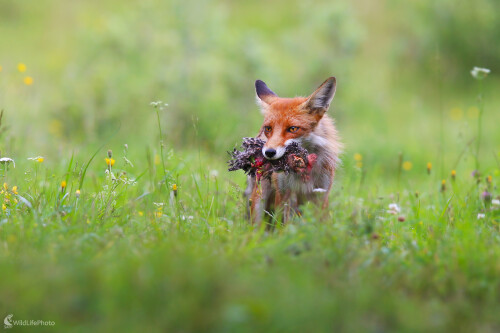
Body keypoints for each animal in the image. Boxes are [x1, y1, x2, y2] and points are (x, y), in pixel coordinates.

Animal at [246, 76, 344, 224]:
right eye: (268, 128)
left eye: (292, 129)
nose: (269, 153)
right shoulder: (283, 193)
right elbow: (282, 225)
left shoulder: (321, 194)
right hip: (261, 196)